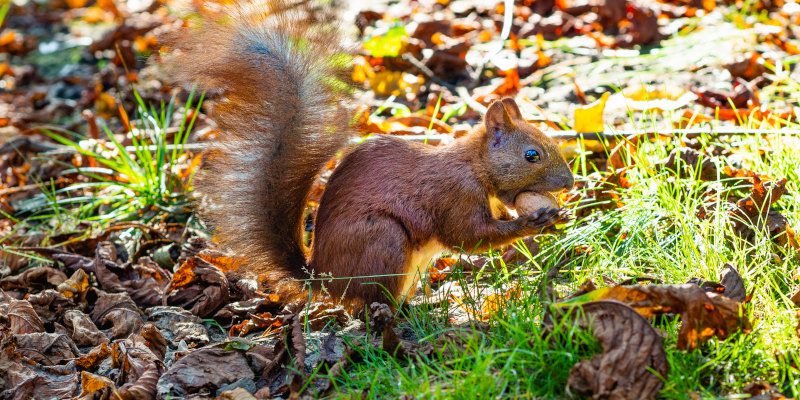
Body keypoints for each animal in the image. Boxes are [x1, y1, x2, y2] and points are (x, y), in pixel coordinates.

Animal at [165, 3, 574, 312]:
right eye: (532, 155)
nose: (570, 183)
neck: (474, 165)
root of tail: (325, 281)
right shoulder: (453, 194)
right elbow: (467, 237)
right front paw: (535, 222)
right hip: (383, 241)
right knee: (373, 301)